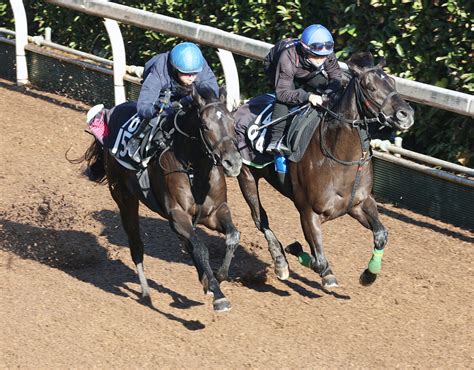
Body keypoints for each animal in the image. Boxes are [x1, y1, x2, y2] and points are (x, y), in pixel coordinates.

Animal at [82, 87, 243, 312]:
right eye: (205, 125)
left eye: (232, 121)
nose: (233, 162)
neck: (195, 170)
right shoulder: (177, 215)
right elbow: (201, 248)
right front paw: (218, 294)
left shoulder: (215, 212)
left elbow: (232, 236)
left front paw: (218, 277)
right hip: (124, 198)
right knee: (136, 245)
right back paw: (145, 292)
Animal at [237, 52, 414, 286]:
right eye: (369, 86)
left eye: (393, 82)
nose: (406, 114)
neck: (339, 159)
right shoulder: (308, 211)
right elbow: (318, 261)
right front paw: (298, 252)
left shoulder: (358, 204)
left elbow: (381, 234)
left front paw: (369, 274)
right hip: (246, 175)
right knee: (260, 218)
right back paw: (280, 262)